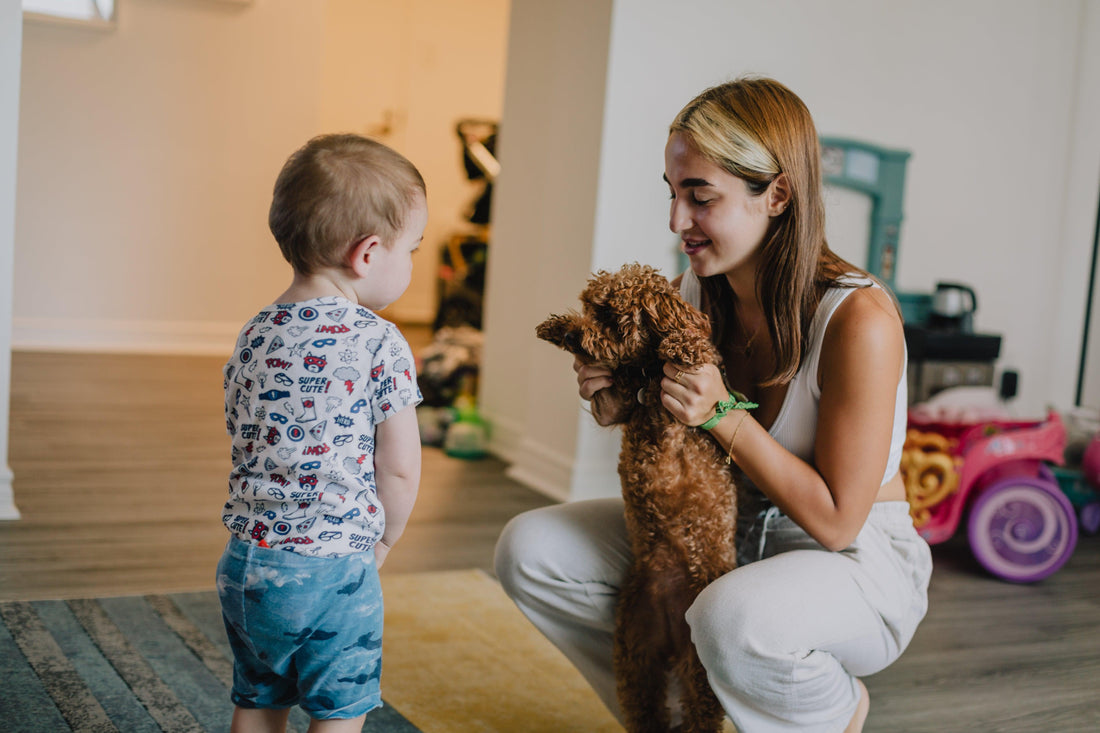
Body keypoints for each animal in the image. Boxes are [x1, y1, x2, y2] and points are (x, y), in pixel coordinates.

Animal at [534, 263, 734, 730]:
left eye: (609, 315)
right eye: (589, 307)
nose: (574, 334)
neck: (648, 371)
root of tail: (673, 631)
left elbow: (696, 347)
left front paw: (681, 343)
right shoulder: (630, 397)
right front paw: (556, 326)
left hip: (698, 673)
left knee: (701, 716)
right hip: (635, 655)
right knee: (646, 711)